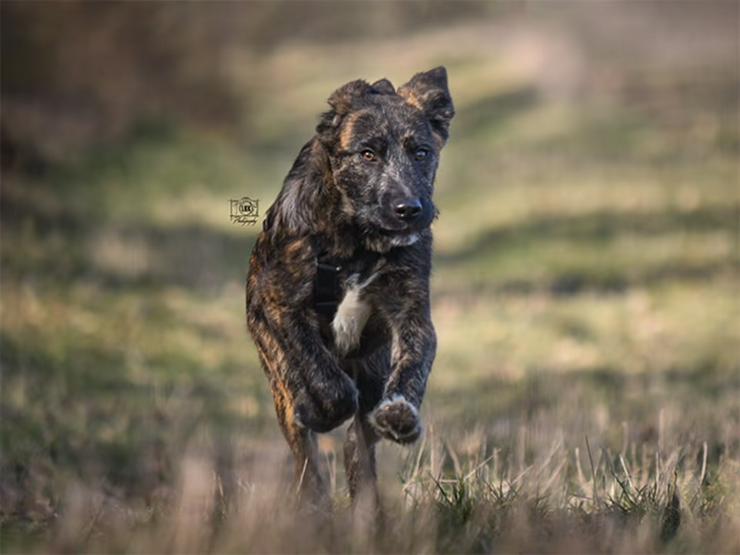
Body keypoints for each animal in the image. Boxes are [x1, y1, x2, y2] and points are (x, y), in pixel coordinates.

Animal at [246, 67, 454, 510]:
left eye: (421, 153)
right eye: (367, 154)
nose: (408, 210)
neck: (358, 241)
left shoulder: (411, 313)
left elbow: (414, 364)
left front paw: (402, 415)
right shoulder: (284, 307)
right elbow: (323, 375)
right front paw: (322, 409)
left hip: (371, 373)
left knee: (358, 452)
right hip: (276, 374)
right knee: (307, 458)